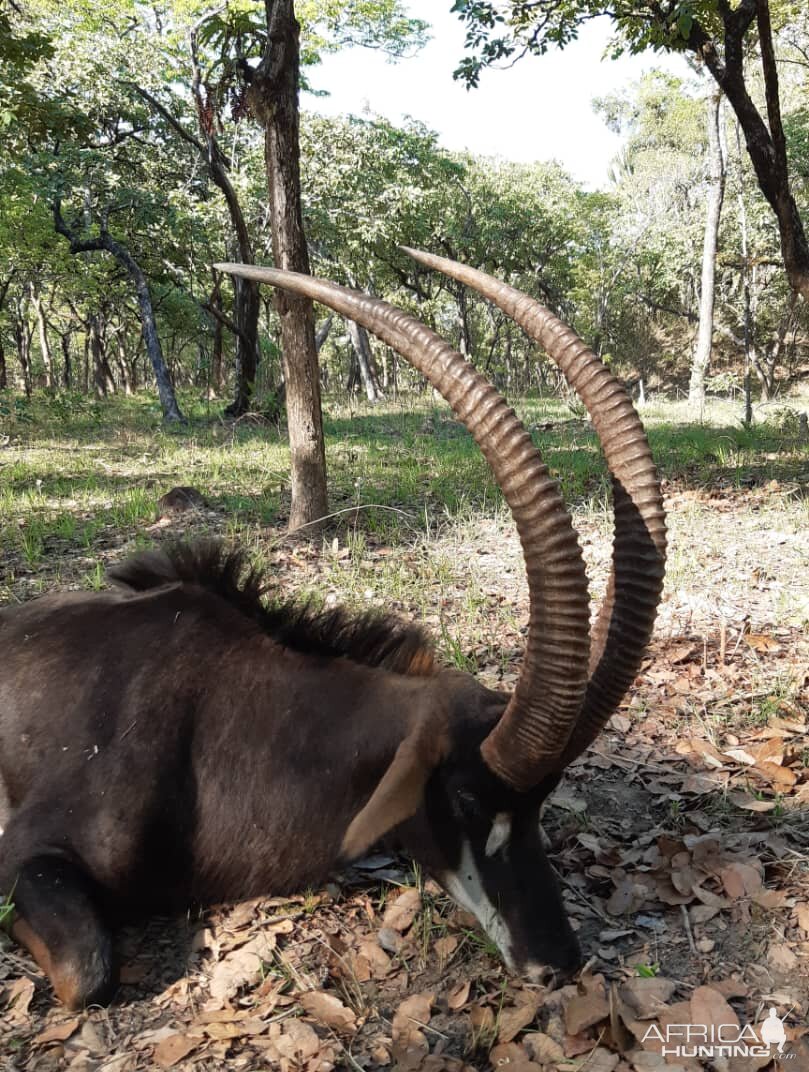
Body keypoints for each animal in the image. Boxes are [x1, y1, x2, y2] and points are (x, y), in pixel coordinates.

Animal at [0, 248, 664, 1003]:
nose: (556, 963)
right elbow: (87, 970)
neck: (228, 720)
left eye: (542, 801)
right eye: (465, 795)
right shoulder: (25, 854)